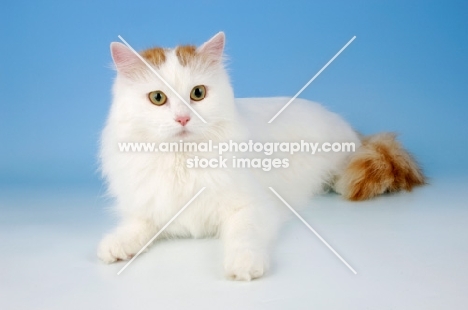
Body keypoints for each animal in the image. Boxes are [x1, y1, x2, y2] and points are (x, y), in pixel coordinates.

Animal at [96, 32, 424, 280]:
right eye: (157, 98)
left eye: (198, 94)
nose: (183, 119)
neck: (183, 160)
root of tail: (352, 130)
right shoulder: (150, 209)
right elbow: (136, 226)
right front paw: (115, 246)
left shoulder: (251, 207)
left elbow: (244, 237)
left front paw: (243, 264)